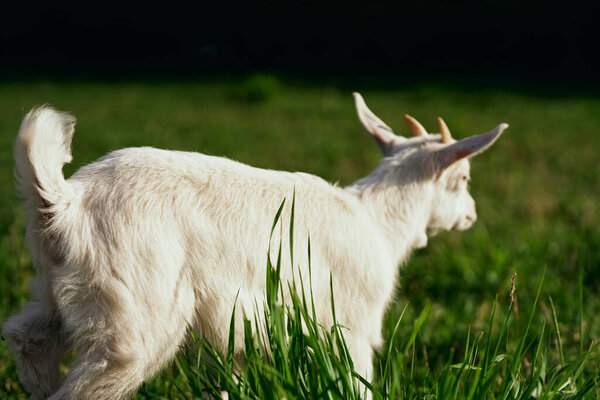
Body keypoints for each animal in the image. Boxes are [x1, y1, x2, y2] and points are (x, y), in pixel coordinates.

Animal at [3, 93, 506, 396]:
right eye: (463, 178)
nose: (472, 215)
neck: (378, 221)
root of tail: (66, 203)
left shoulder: (243, 332)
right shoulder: (353, 324)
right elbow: (358, 384)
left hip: (65, 291)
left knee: (28, 338)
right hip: (134, 314)